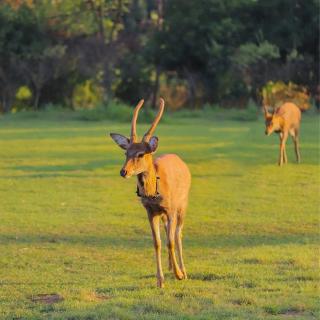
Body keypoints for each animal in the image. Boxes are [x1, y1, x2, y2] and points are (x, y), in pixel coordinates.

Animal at [109, 97, 190, 288]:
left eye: (140, 154)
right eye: (126, 152)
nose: (123, 171)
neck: (154, 192)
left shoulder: (171, 209)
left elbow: (170, 241)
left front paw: (178, 275)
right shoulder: (150, 211)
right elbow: (157, 242)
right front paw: (160, 280)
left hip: (183, 205)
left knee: (178, 234)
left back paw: (183, 271)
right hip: (165, 214)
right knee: (169, 232)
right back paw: (170, 267)